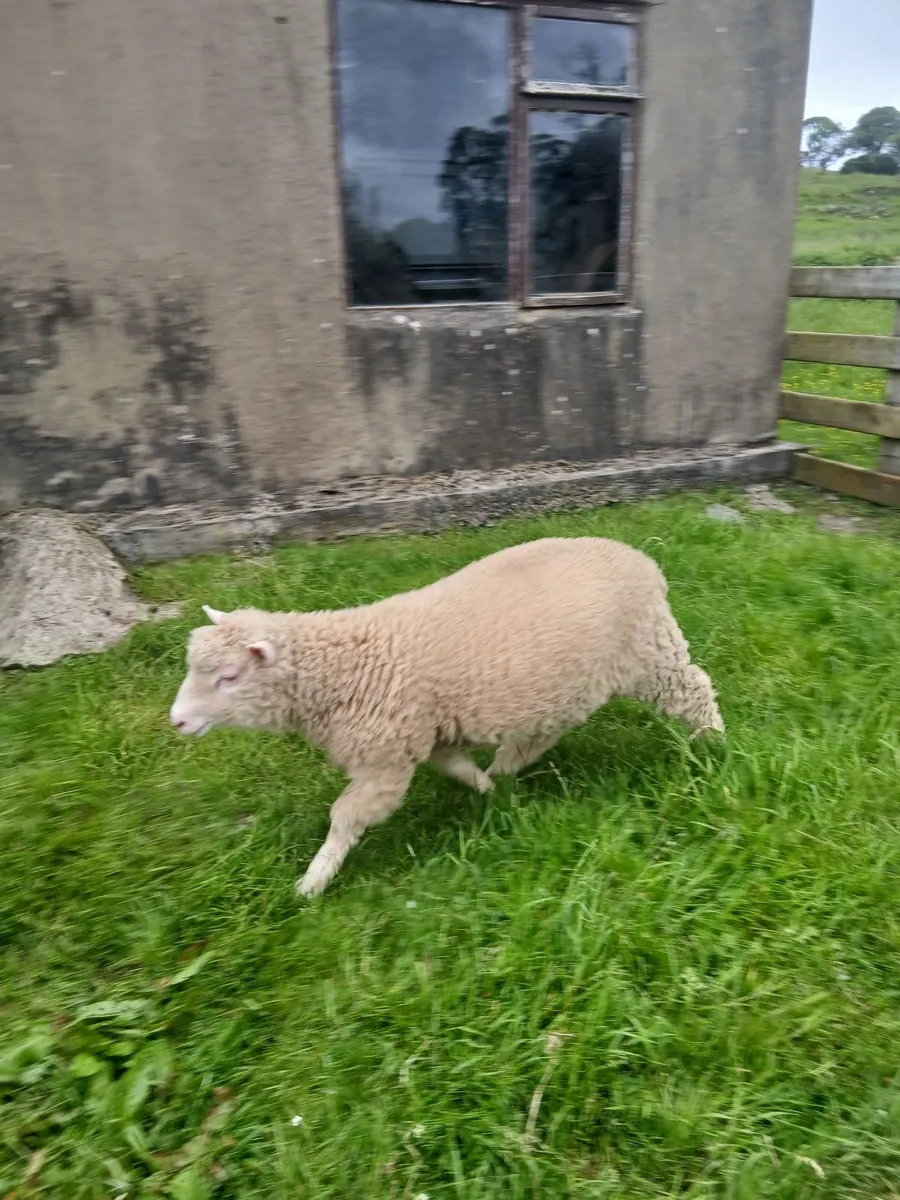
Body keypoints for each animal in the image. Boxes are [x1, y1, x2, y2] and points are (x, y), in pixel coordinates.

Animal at [169, 536, 724, 897]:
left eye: (229, 677)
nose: (175, 721)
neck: (344, 669)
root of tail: (641, 559)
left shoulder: (385, 760)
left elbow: (345, 817)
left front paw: (313, 881)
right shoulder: (426, 734)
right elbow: (453, 765)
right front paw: (486, 789)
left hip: (651, 653)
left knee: (695, 689)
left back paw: (714, 746)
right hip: (568, 682)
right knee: (543, 731)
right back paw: (506, 768)